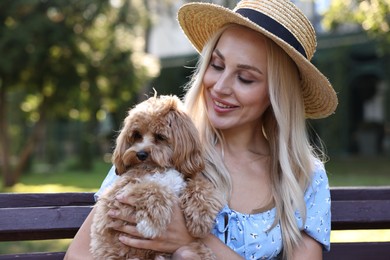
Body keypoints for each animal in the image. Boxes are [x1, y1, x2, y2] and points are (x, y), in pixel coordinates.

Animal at [90, 94, 224, 258]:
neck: (159, 168)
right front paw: (151, 223)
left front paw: (201, 219)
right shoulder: (117, 195)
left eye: (160, 136)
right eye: (137, 135)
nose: (140, 154)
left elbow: (200, 185)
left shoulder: (187, 180)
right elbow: (153, 187)